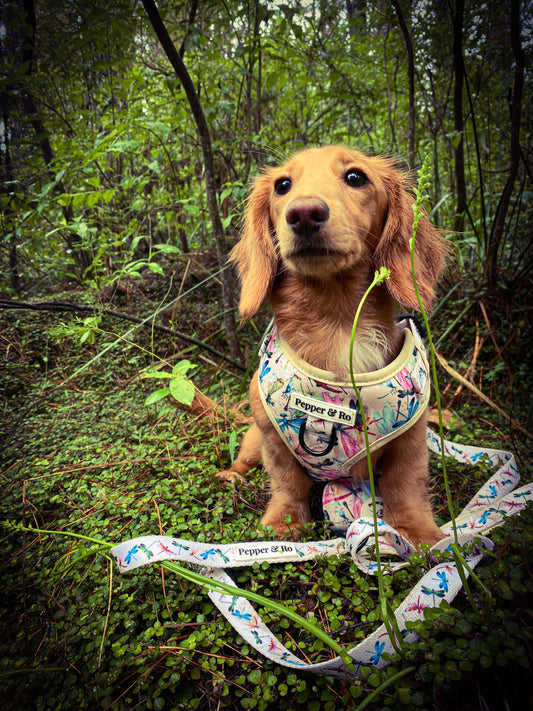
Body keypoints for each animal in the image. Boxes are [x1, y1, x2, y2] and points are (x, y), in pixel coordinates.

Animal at [218, 146, 447, 546]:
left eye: (355, 177)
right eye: (282, 185)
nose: (304, 213)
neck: (336, 322)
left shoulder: (412, 439)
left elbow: (405, 484)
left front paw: (418, 532)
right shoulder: (272, 438)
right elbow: (287, 482)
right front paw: (282, 524)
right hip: (252, 438)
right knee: (245, 459)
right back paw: (232, 475)